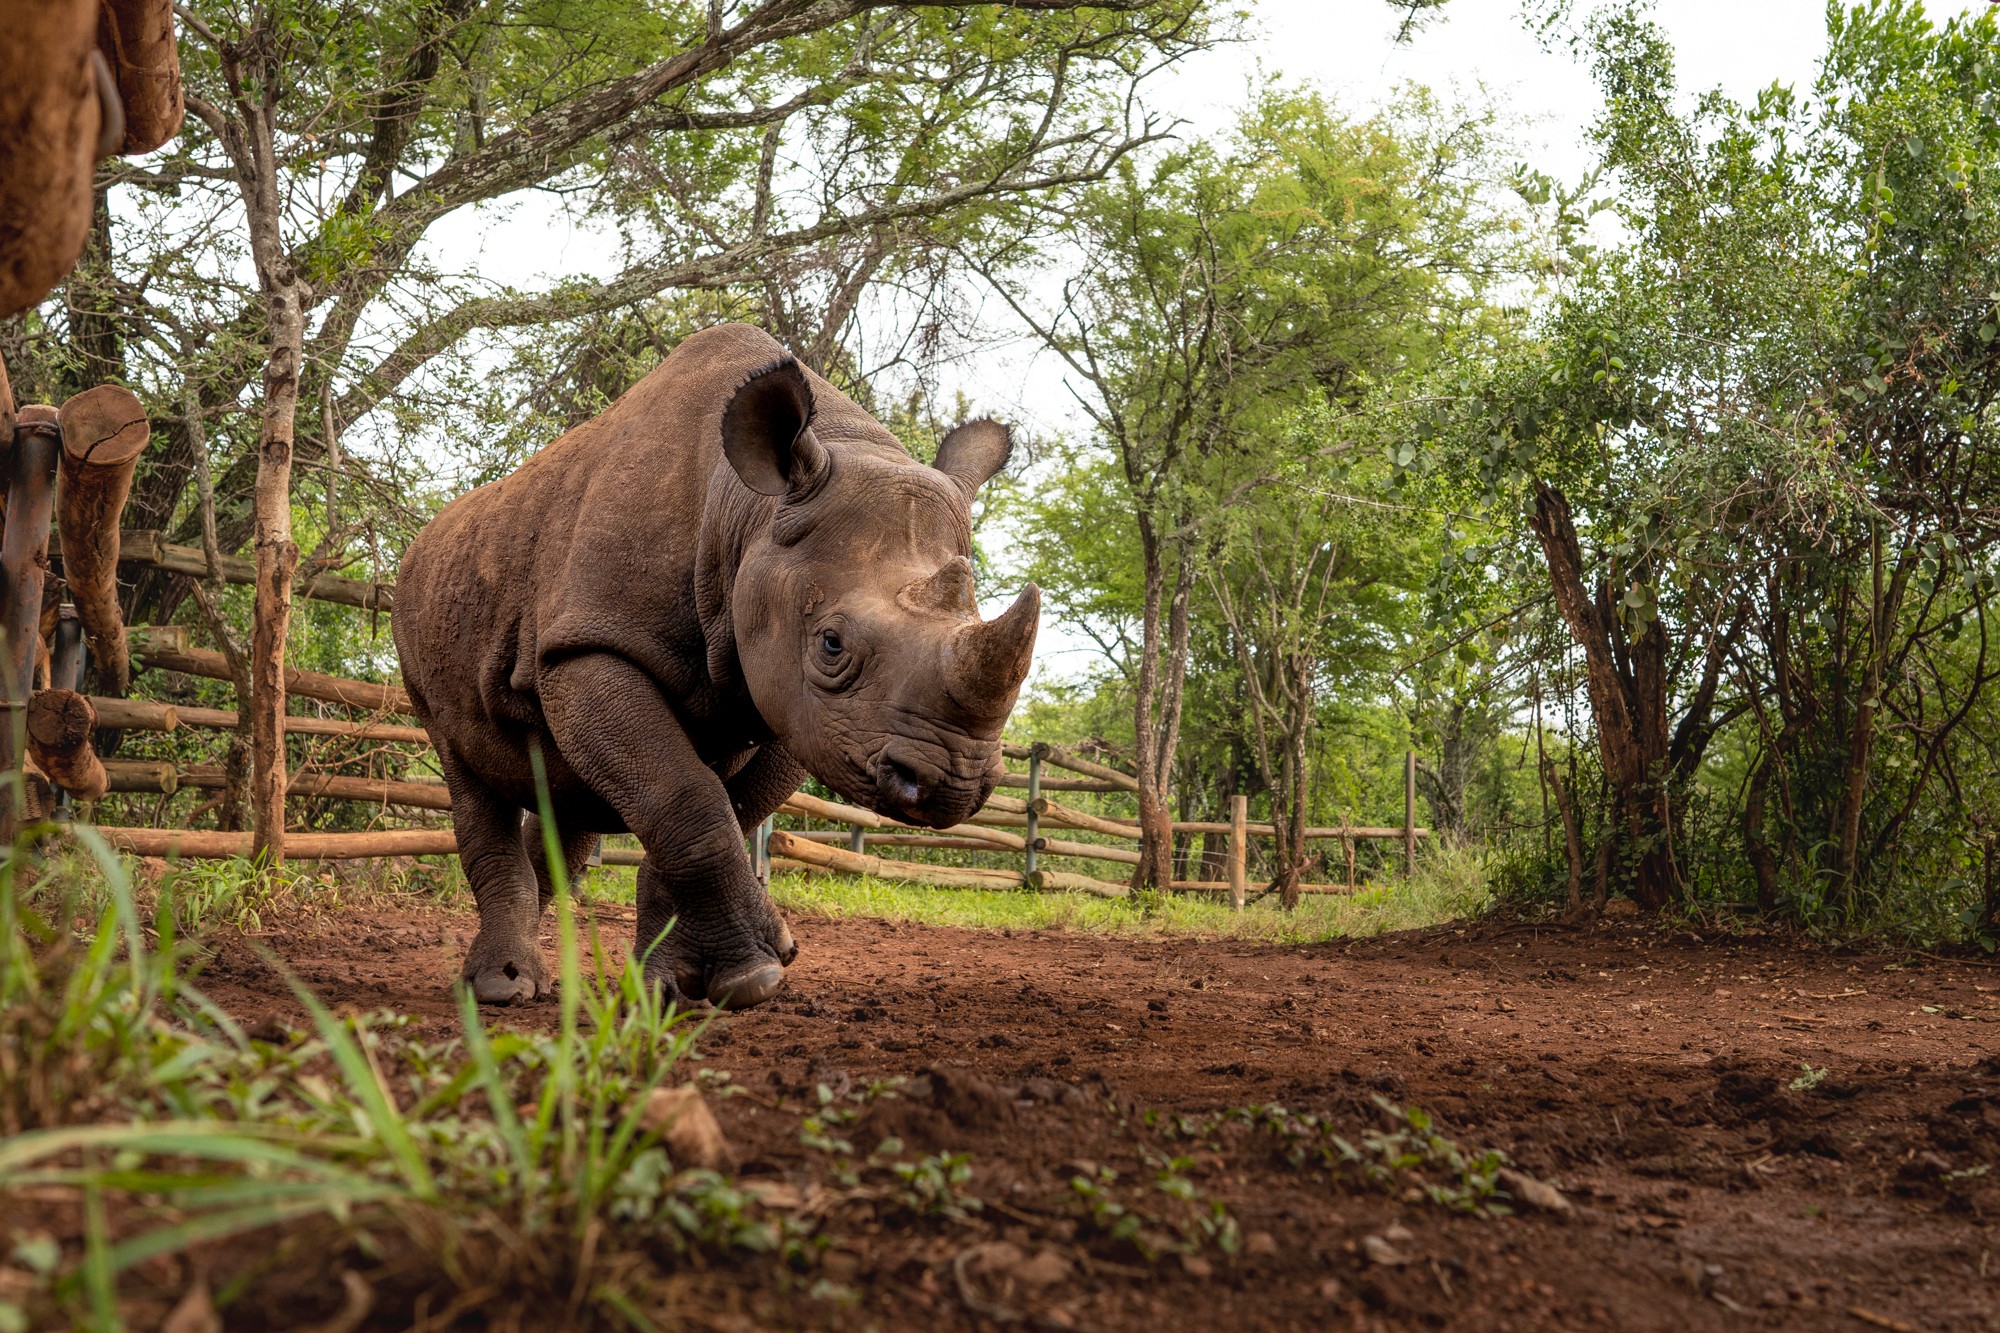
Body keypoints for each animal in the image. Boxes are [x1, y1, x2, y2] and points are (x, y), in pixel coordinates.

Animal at [394, 323, 1038, 1008]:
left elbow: (716, 809)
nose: (952, 783)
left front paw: (673, 984)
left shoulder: (791, 704)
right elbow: (687, 798)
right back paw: (500, 988)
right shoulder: (590, 647)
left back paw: (533, 979)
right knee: (465, 770)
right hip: (419, 620)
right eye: (831, 645)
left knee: (567, 797)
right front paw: (753, 976)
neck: (749, 514)